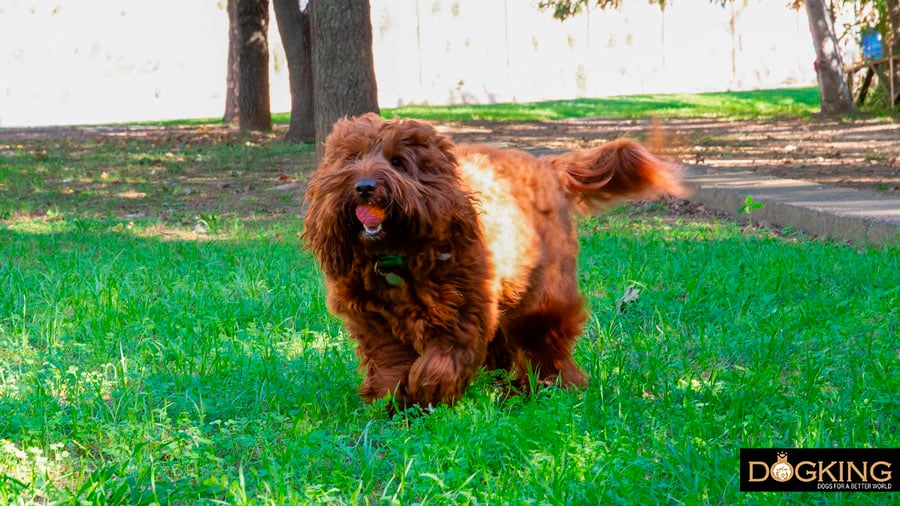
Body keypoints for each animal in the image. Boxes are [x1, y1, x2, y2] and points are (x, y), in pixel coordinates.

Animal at [302, 114, 684, 412]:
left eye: (398, 162)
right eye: (351, 159)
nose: (364, 186)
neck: (399, 252)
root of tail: (545, 165)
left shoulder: (462, 314)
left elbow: (439, 363)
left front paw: (428, 392)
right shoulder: (375, 325)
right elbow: (390, 367)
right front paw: (394, 403)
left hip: (544, 294)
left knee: (547, 342)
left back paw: (555, 386)